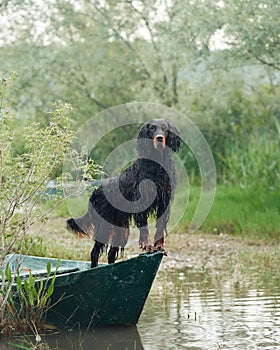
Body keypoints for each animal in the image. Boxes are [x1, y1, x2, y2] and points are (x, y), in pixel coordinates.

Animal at [67, 119, 182, 266]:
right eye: (152, 128)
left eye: (165, 129)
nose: (160, 138)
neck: (157, 164)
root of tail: (94, 193)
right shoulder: (141, 202)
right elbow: (144, 228)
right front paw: (148, 246)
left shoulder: (164, 201)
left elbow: (160, 226)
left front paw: (159, 246)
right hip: (104, 227)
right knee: (94, 252)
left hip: (121, 230)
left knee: (111, 254)